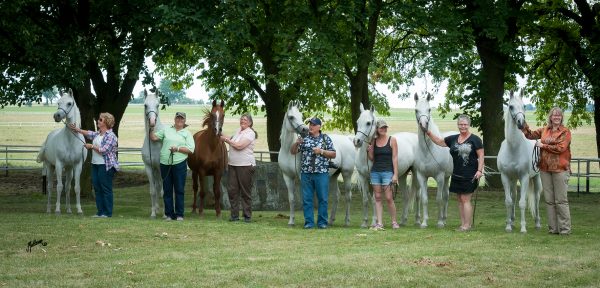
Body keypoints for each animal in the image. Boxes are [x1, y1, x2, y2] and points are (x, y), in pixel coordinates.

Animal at [414, 92, 452, 227]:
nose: (424, 125)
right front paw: (424, 222)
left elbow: (438, 199)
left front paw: (439, 222)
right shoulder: (421, 176)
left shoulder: (439, 177)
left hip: (446, 177)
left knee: (445, 197)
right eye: (416, 110)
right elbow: (424, 199)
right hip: (446, 177)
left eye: (429, 109)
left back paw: (444, 219)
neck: (428, 151)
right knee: (446, 195)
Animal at [496, 91, 544, 233]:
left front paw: (523, 228)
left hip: (536, 178)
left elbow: (522, 203)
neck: (513, 148)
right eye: (511, 106)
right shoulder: (505, 177)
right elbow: (509, 201)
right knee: (514, 196)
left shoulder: (524, 177)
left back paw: (537, 223)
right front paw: (508, 226)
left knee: (537, 198)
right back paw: (512, 221)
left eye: (524, 106)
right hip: (513, 180)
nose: (521, 123)